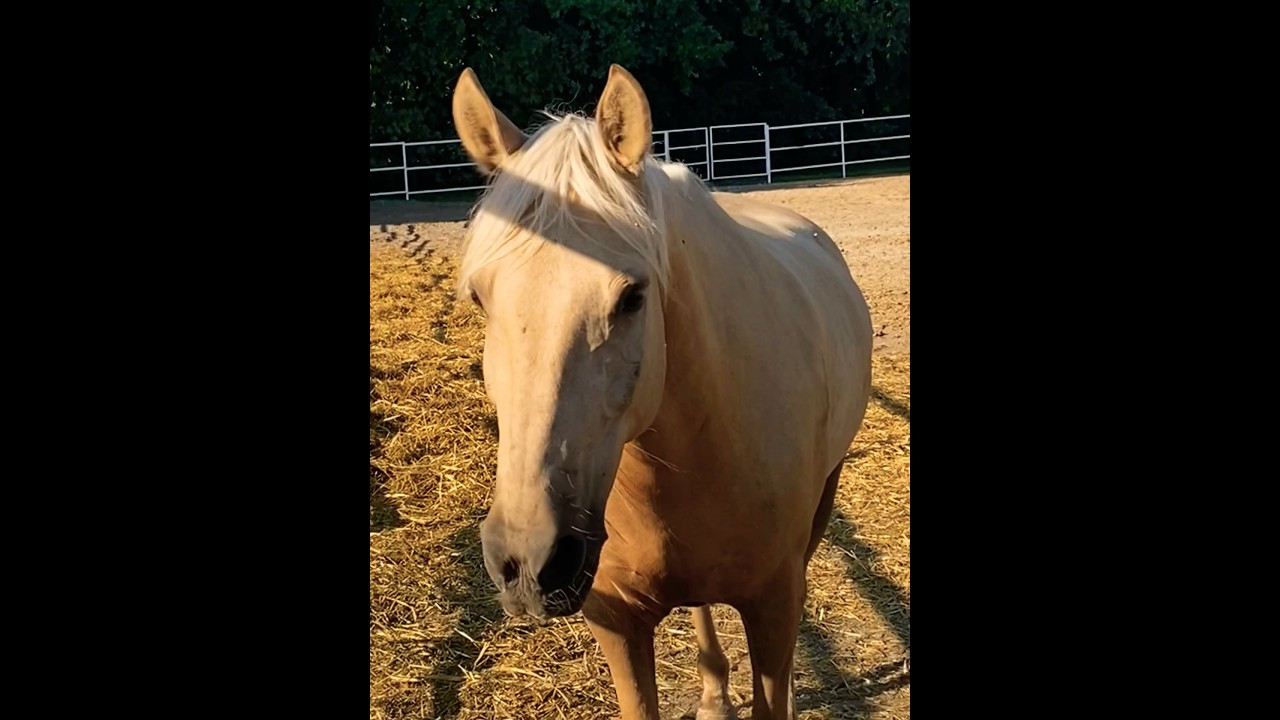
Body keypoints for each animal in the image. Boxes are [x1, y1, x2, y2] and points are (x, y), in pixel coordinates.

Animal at [449, 64, 873, 720]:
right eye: (480, 298)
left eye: (631, 297)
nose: (529, 562)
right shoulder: (616, 622)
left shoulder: (774, 605)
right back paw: (713, 690)